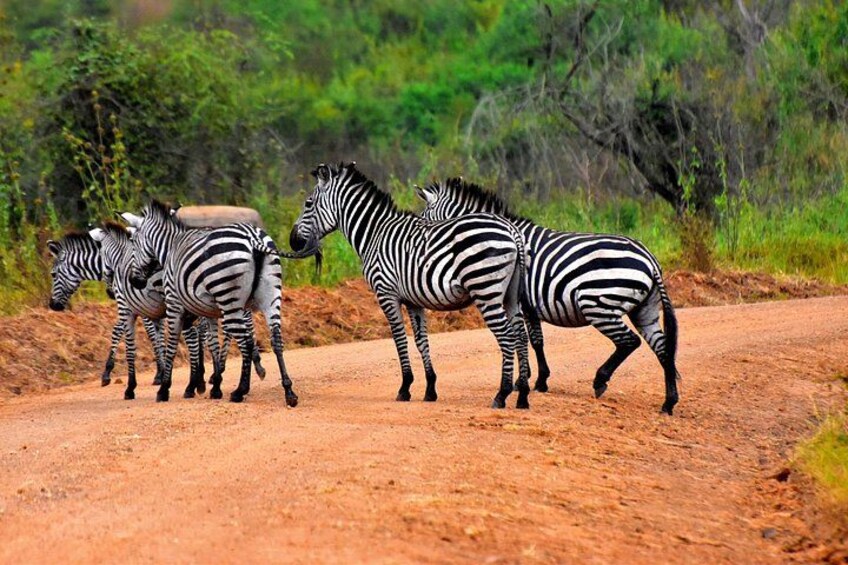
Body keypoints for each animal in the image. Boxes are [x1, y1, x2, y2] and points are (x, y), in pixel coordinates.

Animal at [123, 201, 298, 406]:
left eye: (133, 242)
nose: (134, 281)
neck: (171, 248)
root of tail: (253, 238)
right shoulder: (209, 311)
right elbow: (213, 344)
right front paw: (215, 386)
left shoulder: (174, 304)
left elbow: (172, 345)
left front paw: (165, 389)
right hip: (270, 296)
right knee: (276, 339)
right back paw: (288, 391)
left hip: (229, 298)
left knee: (245, 342)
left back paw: (240, 391)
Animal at [288, 162, 532, 408]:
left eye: (308, 203)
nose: (292, 241)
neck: (374, 234)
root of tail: (511, 229)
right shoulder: (414, 300)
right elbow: (421, 340)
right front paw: (430, 389)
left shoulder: (386, 294)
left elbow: (399, 338)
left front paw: (405, 387)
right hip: (510, 295)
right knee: (521, 335)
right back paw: (522, 395)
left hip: (486, 290)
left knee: (507, 336)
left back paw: (501, 394)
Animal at [417, 178, 680, 415]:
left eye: (426, 221)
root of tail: (649, 258)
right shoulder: (529, 306)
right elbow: (535, 341)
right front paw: (535, 380)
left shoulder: (522, 304)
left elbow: (529, 340)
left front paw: (530, 381)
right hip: (644, 310)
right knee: (663, 349)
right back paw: (668, 403)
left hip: (598, 306)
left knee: (629, 341)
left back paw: (600, 380)